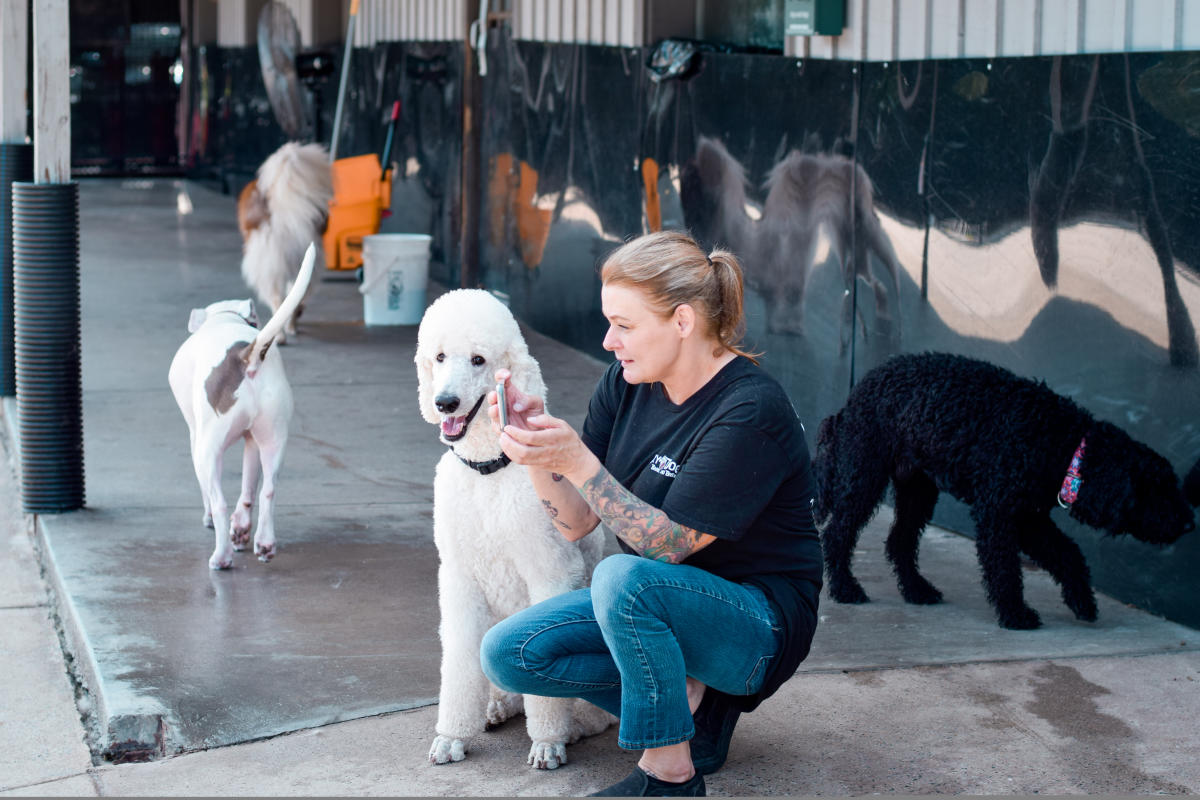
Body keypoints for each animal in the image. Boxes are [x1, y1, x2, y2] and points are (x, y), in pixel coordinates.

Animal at [172, 244, 319, 568]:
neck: (223, 318)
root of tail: (245, 358)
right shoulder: (252, 441)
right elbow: (249, 486)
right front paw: (241, 529)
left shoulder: (195, 438)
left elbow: (208, 494)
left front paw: (212, 521)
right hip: (273, 440)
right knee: (268, 491)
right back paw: (262, 542)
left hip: (208, 449)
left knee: (219, 501)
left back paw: (222, 556)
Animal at [811, 352, 1195, 628]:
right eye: (1158, 490)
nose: (1190, 522)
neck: (1062, 444)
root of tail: (856, 391)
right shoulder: (998, 512)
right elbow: (1005, 566)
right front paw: (1015, 614)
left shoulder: (1029, 517)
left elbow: (1068, 553)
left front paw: (1082, 600)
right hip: (864, 475)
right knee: (837, 534)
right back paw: (845, 588)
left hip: (917, 489)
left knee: (900, 542)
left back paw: (917, 590)